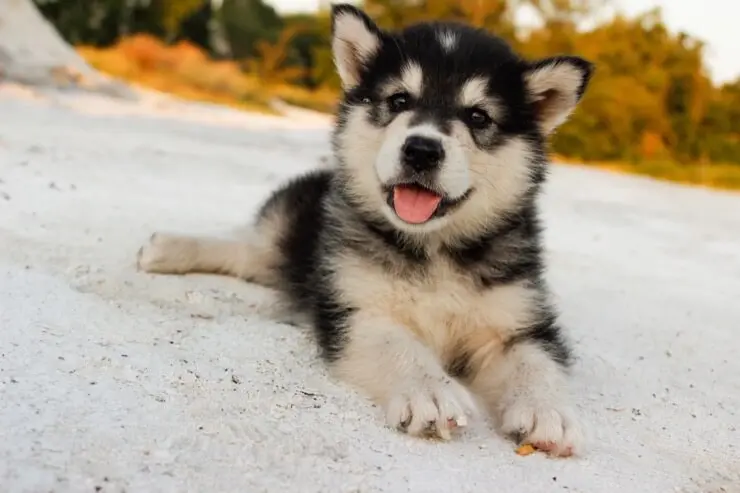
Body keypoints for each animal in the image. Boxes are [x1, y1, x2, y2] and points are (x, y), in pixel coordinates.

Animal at [136, 3, 592, 458]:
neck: (432, 248)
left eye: (478, 116)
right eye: (399, 99)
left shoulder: (518, 317)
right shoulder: (351, 306)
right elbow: (397, 345)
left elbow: (535, 360)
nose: (422, 149)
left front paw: (547, 411)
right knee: (249, 249)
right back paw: (168, 247)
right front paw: (430, 391)